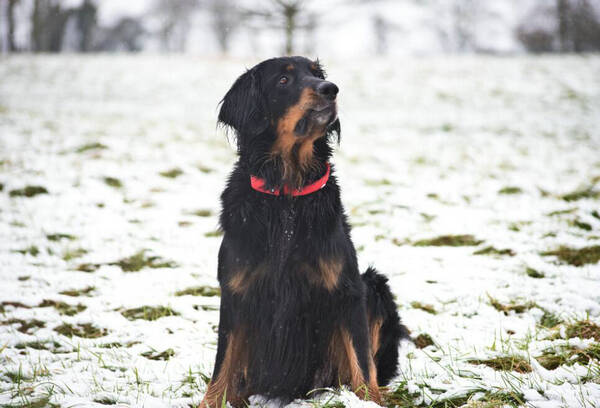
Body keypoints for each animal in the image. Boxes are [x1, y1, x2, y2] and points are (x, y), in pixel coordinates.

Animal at [202, 56, 408, 408]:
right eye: (284, 80)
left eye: (316, 73)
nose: (331, 88)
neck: (287, 193)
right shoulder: (235, 292)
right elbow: (223, 363)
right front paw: (209, 401)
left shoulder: (348, 290)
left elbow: (361, 361)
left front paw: (369, 400)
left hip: (374, 284)